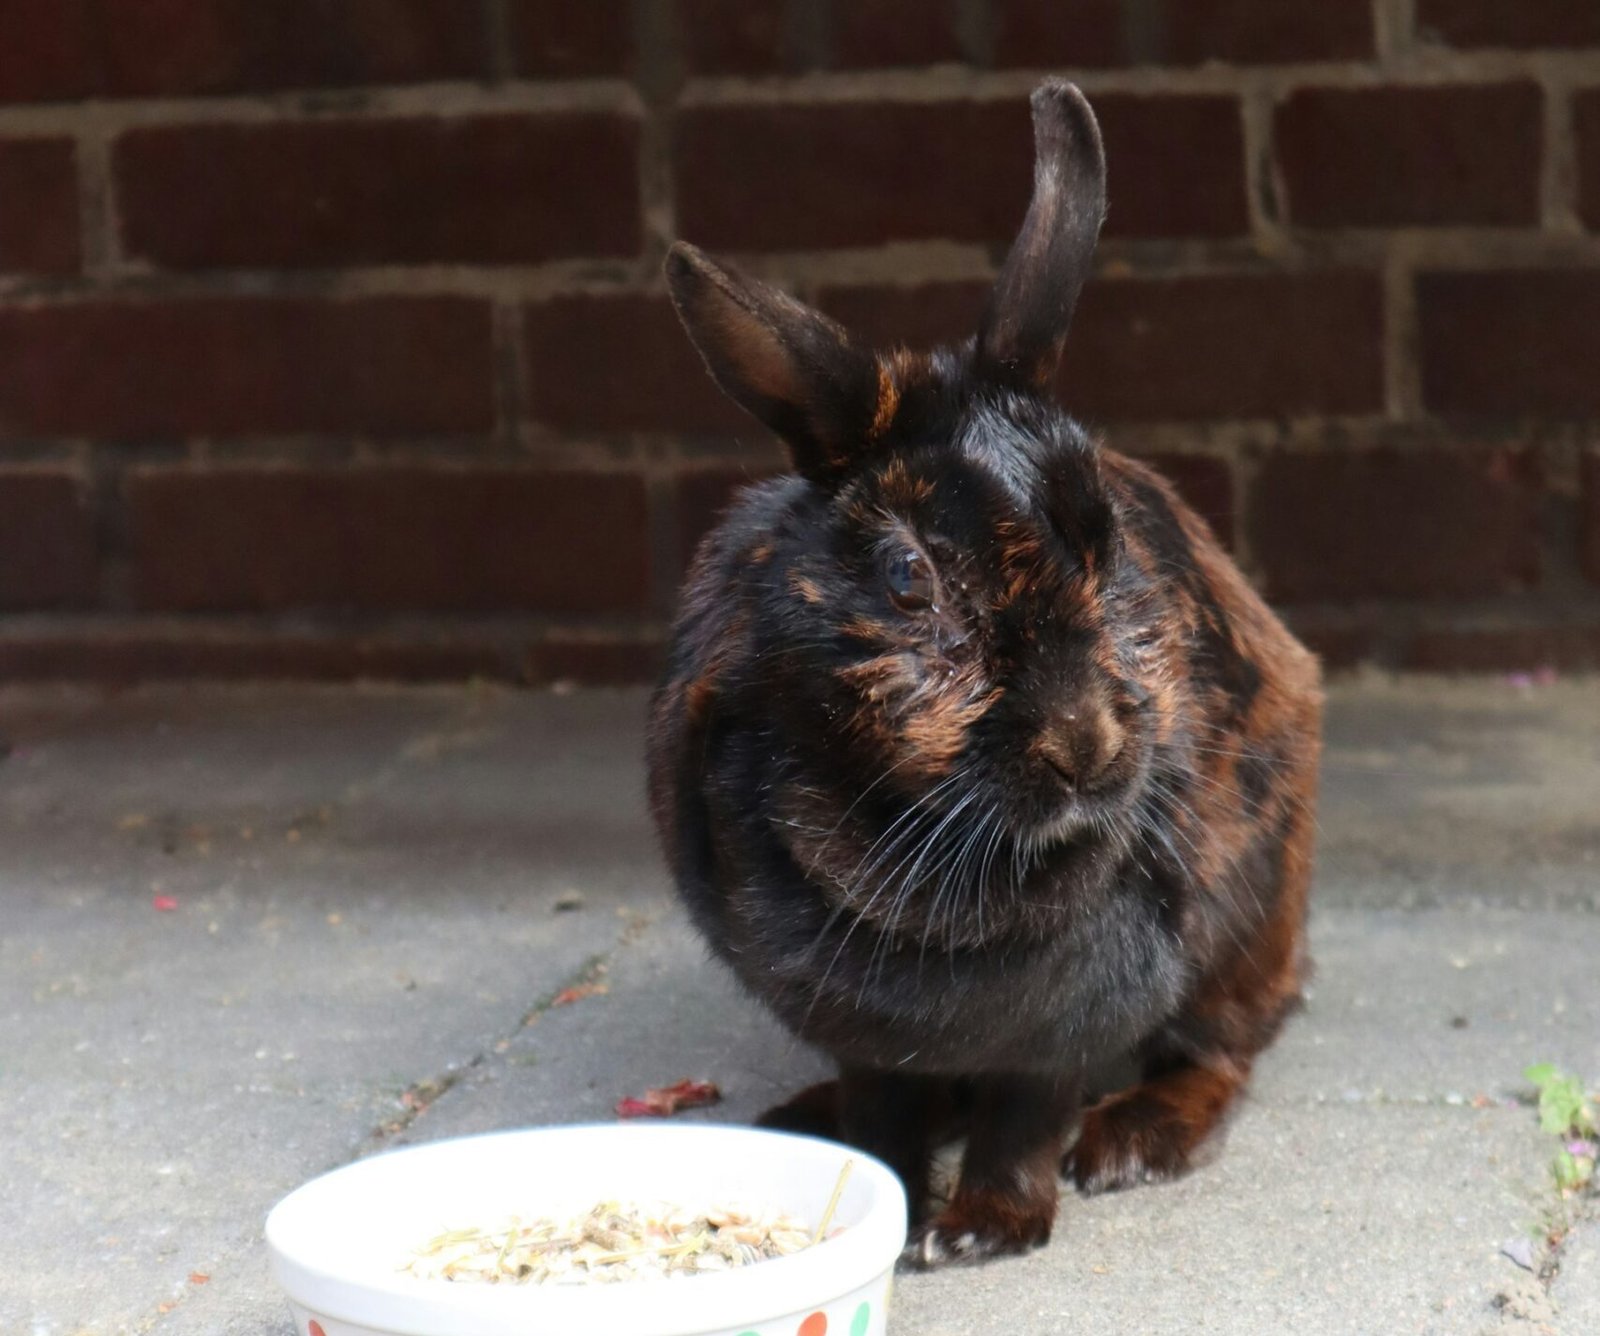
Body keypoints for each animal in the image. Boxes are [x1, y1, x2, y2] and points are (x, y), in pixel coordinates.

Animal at [647, 79, 1322, 1269]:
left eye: (1110, 543)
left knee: (1221, 1052)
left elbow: (1027, 1115)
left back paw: (1134, 1143)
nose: (1090, 747)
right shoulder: (855, 1025)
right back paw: (801, 1118)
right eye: (908, 578)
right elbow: (885, 1104)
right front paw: (892, 1196)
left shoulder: (1073, 1018)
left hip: (1248, 916)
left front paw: (980, 1232)